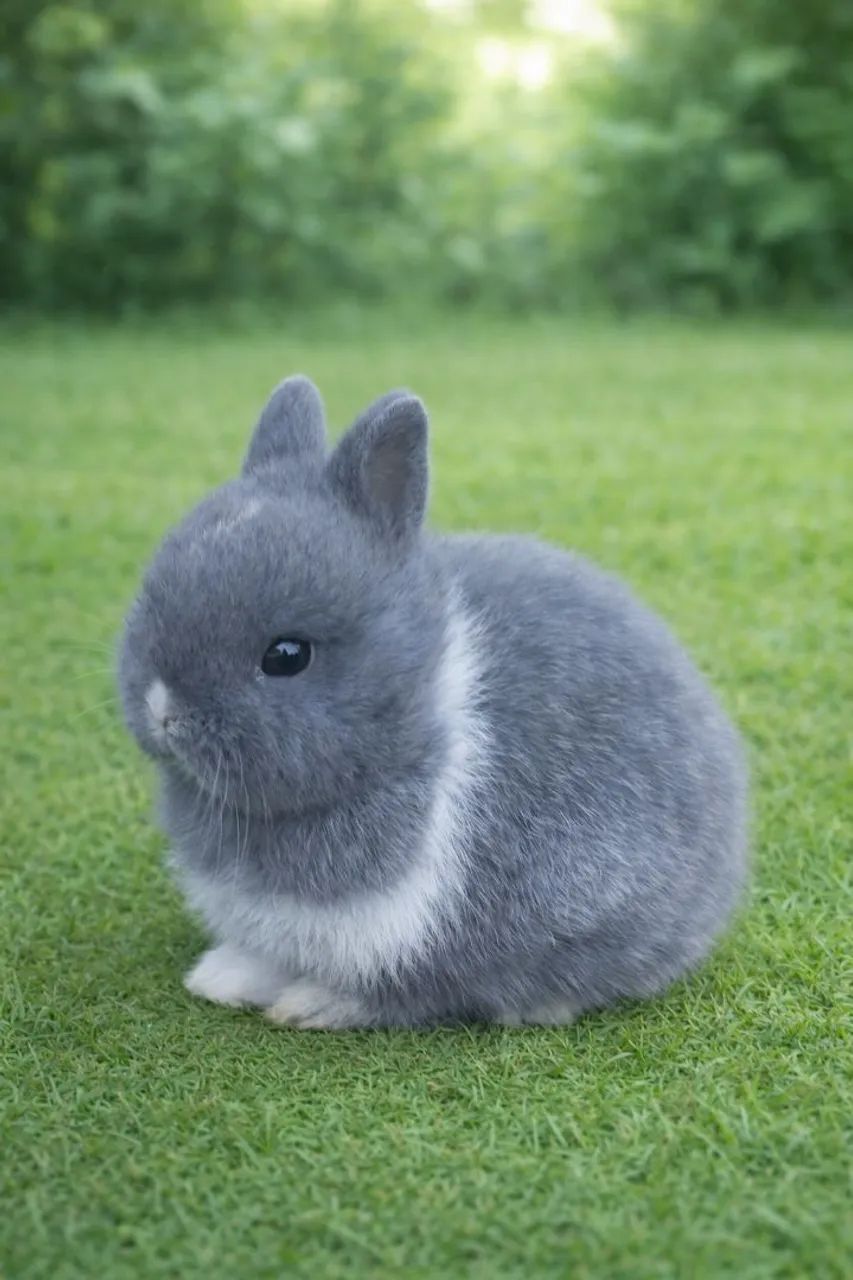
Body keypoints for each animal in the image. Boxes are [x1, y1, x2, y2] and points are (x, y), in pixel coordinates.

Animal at [118, 375, 748, 1029]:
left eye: (286, 656)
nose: (163, 710)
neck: (416, 722)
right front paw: (220, 977)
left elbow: (396, 990)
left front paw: (309, 1005)